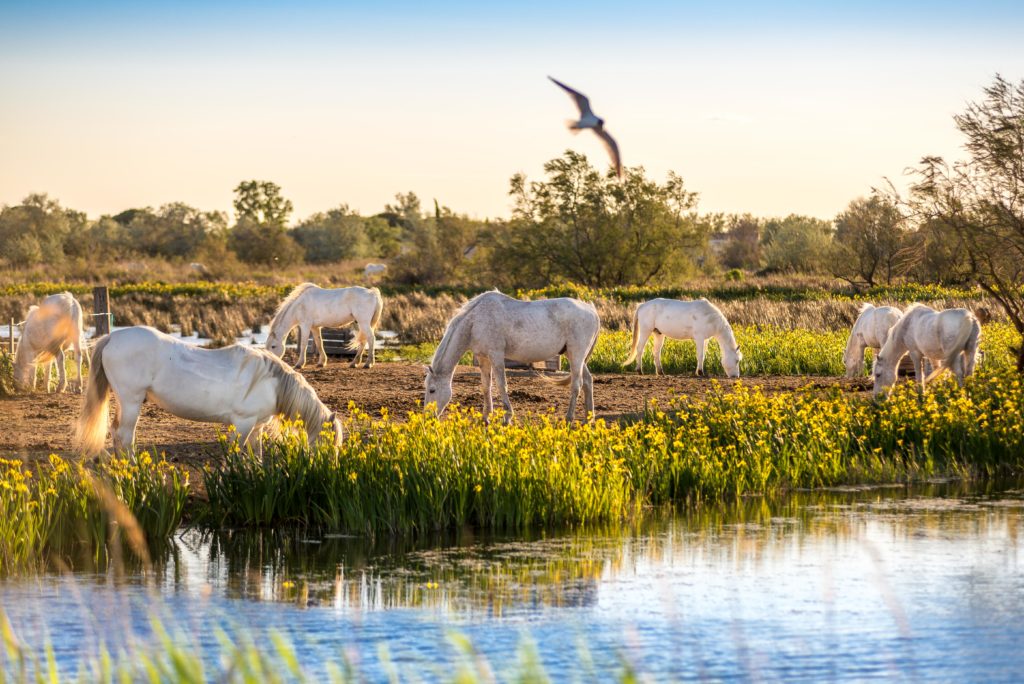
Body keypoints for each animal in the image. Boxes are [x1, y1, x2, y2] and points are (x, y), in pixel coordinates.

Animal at [76, 325, 339, 454]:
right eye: (330, 443)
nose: (331, 467)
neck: (271, 382)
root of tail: (112, 337)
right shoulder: (243, 424)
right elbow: (236, 453)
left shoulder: (257, 427)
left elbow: (256, 455)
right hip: (131, 401)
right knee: (125, 436)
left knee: (116, 432)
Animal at [423, 290, 598, 423]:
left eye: (432, 390)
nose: (428, 418)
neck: (475, 321)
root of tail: (592, 310)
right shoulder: (483, 358)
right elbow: (486, 386)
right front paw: (486, 417)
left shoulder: (496, 356)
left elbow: (502, 385)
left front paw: (507, 417)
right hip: (575, 357)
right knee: (588, 381)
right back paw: (588, 419)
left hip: (576, 355)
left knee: (576, 385)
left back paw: (569, 418)